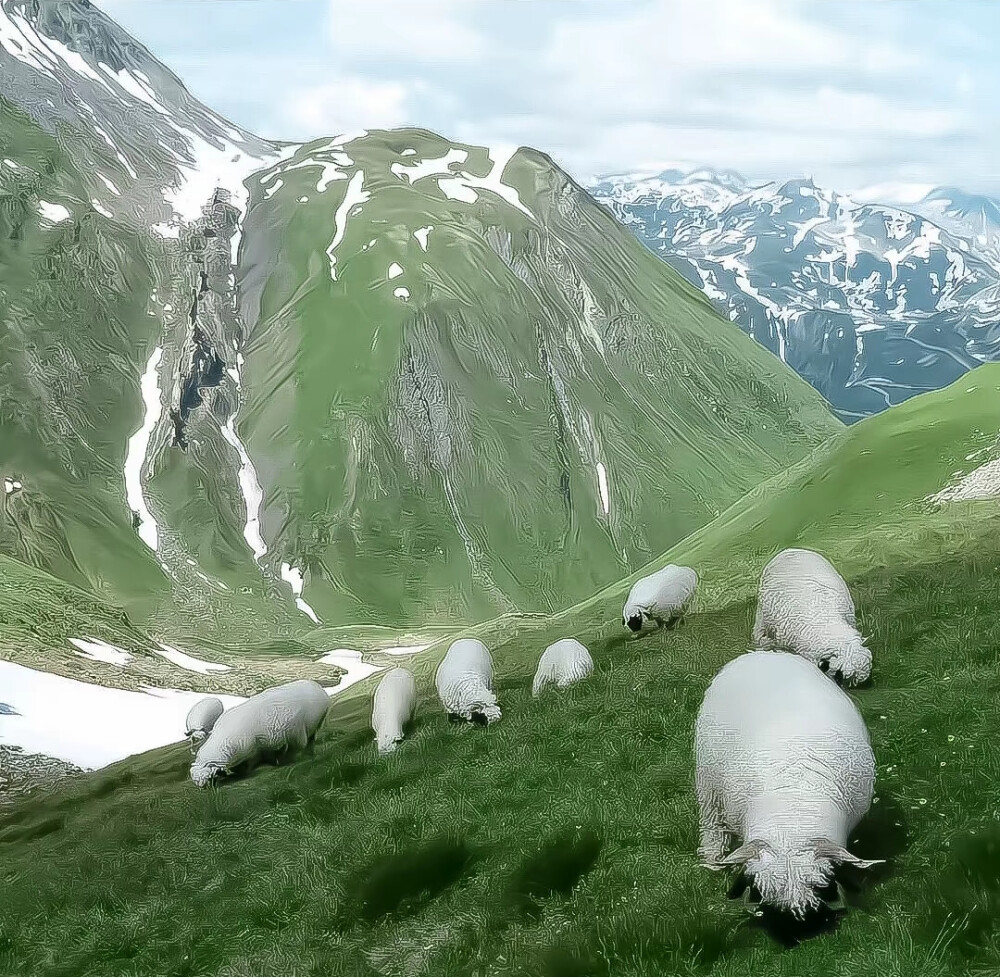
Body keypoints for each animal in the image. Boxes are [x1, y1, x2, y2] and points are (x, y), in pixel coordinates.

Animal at [188, 680, 328, 784]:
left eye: (205, 775)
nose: (202, 787)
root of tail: (319, 688)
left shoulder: (252, 748)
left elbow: (249, 764)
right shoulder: (263, 744)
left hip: (302, 729)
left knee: (303, 744)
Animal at [696, 652, 884, 920]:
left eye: (819, 884)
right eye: (761, 888)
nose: (796, 918)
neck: (792, 809)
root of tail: (762, 654)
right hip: (708, 783)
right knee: (711, 822)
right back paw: (713, 857)